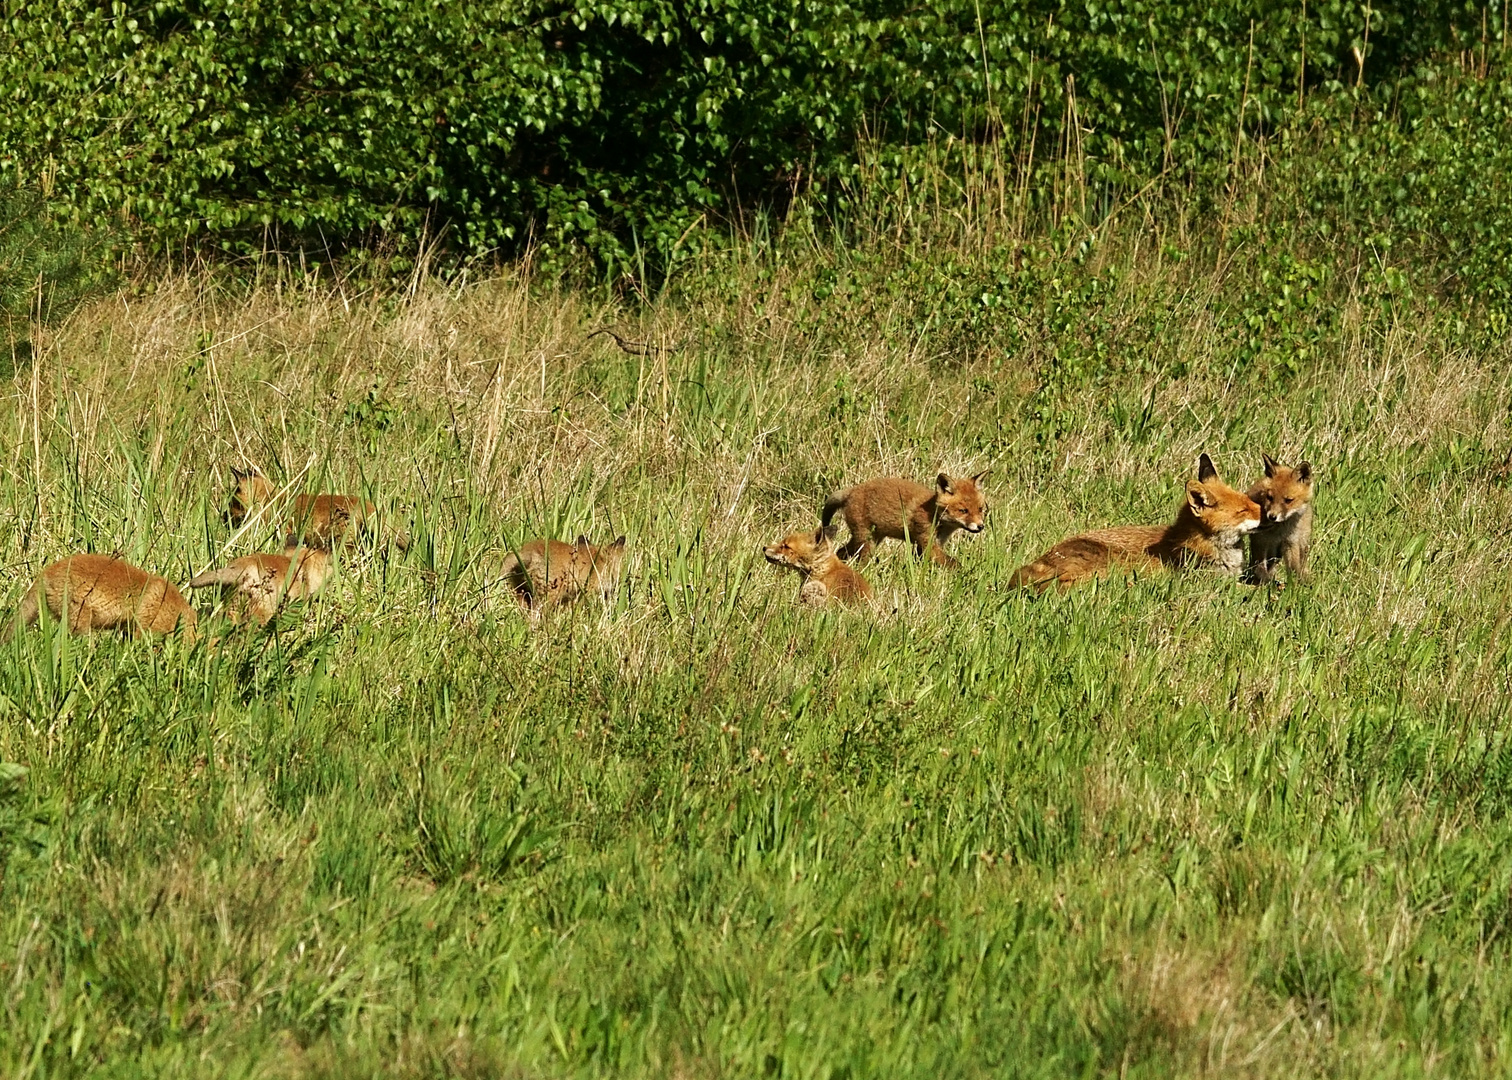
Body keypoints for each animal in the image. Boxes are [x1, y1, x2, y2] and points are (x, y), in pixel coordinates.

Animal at [822, 471, 985, 571]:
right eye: (963, 511)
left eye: (980, 509)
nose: (980, 526)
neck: (933, 514)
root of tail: (851, 490)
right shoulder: (927, 542)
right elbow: (953, 563)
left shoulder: (932, 544)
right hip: (866, 542)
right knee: (860, 560)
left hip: (871, 538)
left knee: (841, 551)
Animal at [1245, 456, 1318, 589]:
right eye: (1270, 497)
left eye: (1288, 500)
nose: (1272, 516)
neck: (1278, 531)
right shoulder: (1260, 541)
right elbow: (1260, 566)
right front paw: (1261, 583)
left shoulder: (1290, 542)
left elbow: (1293, 568)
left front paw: (1293, 587)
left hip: (1300, 544)